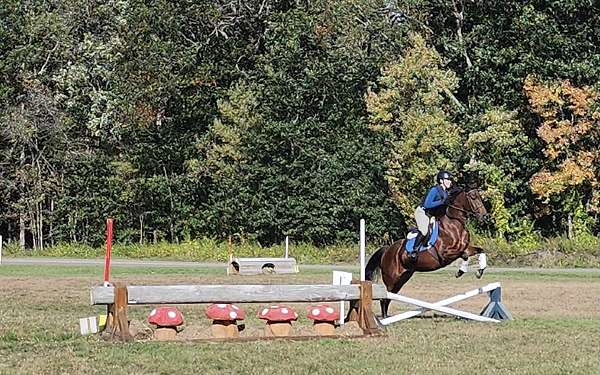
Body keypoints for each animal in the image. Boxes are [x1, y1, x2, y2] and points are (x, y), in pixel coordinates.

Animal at [366, 187, 488, 318]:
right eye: (473, 197)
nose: (485, 216)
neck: (454, 224)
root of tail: (387, 250)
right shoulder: (445, 254)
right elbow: (464, 256)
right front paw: (460, 272)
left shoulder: (465, 248)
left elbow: (480, 250)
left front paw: (480, 271)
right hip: (392, 278)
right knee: (384, 298)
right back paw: (384, 318)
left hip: (403, 278)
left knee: (388, 298)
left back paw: (386, 317)